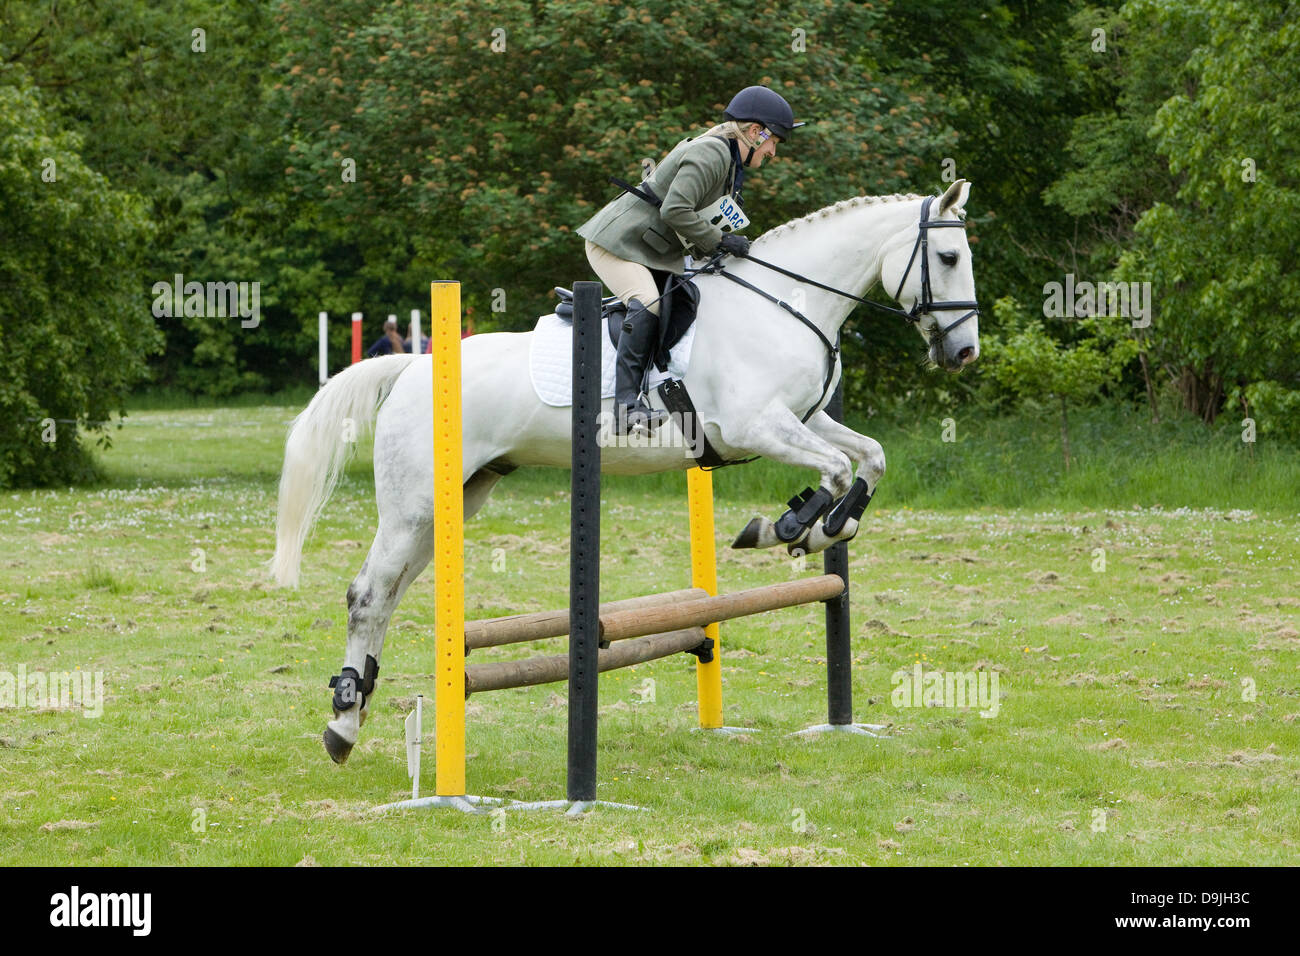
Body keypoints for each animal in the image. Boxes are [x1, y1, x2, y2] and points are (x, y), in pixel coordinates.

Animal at [276, 178, 982, 764]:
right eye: (948, 258)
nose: (964, 353)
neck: (785, 303)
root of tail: (413, 366)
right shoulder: (754, 425)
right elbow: (835, 471)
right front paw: (790, 528)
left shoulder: (803, 420)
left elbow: (868, 457)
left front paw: (813, 526)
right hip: (414, 504)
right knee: (369, 593)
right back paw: (342, 722)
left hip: (452, 502)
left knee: (390, 594)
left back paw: (354, 716)